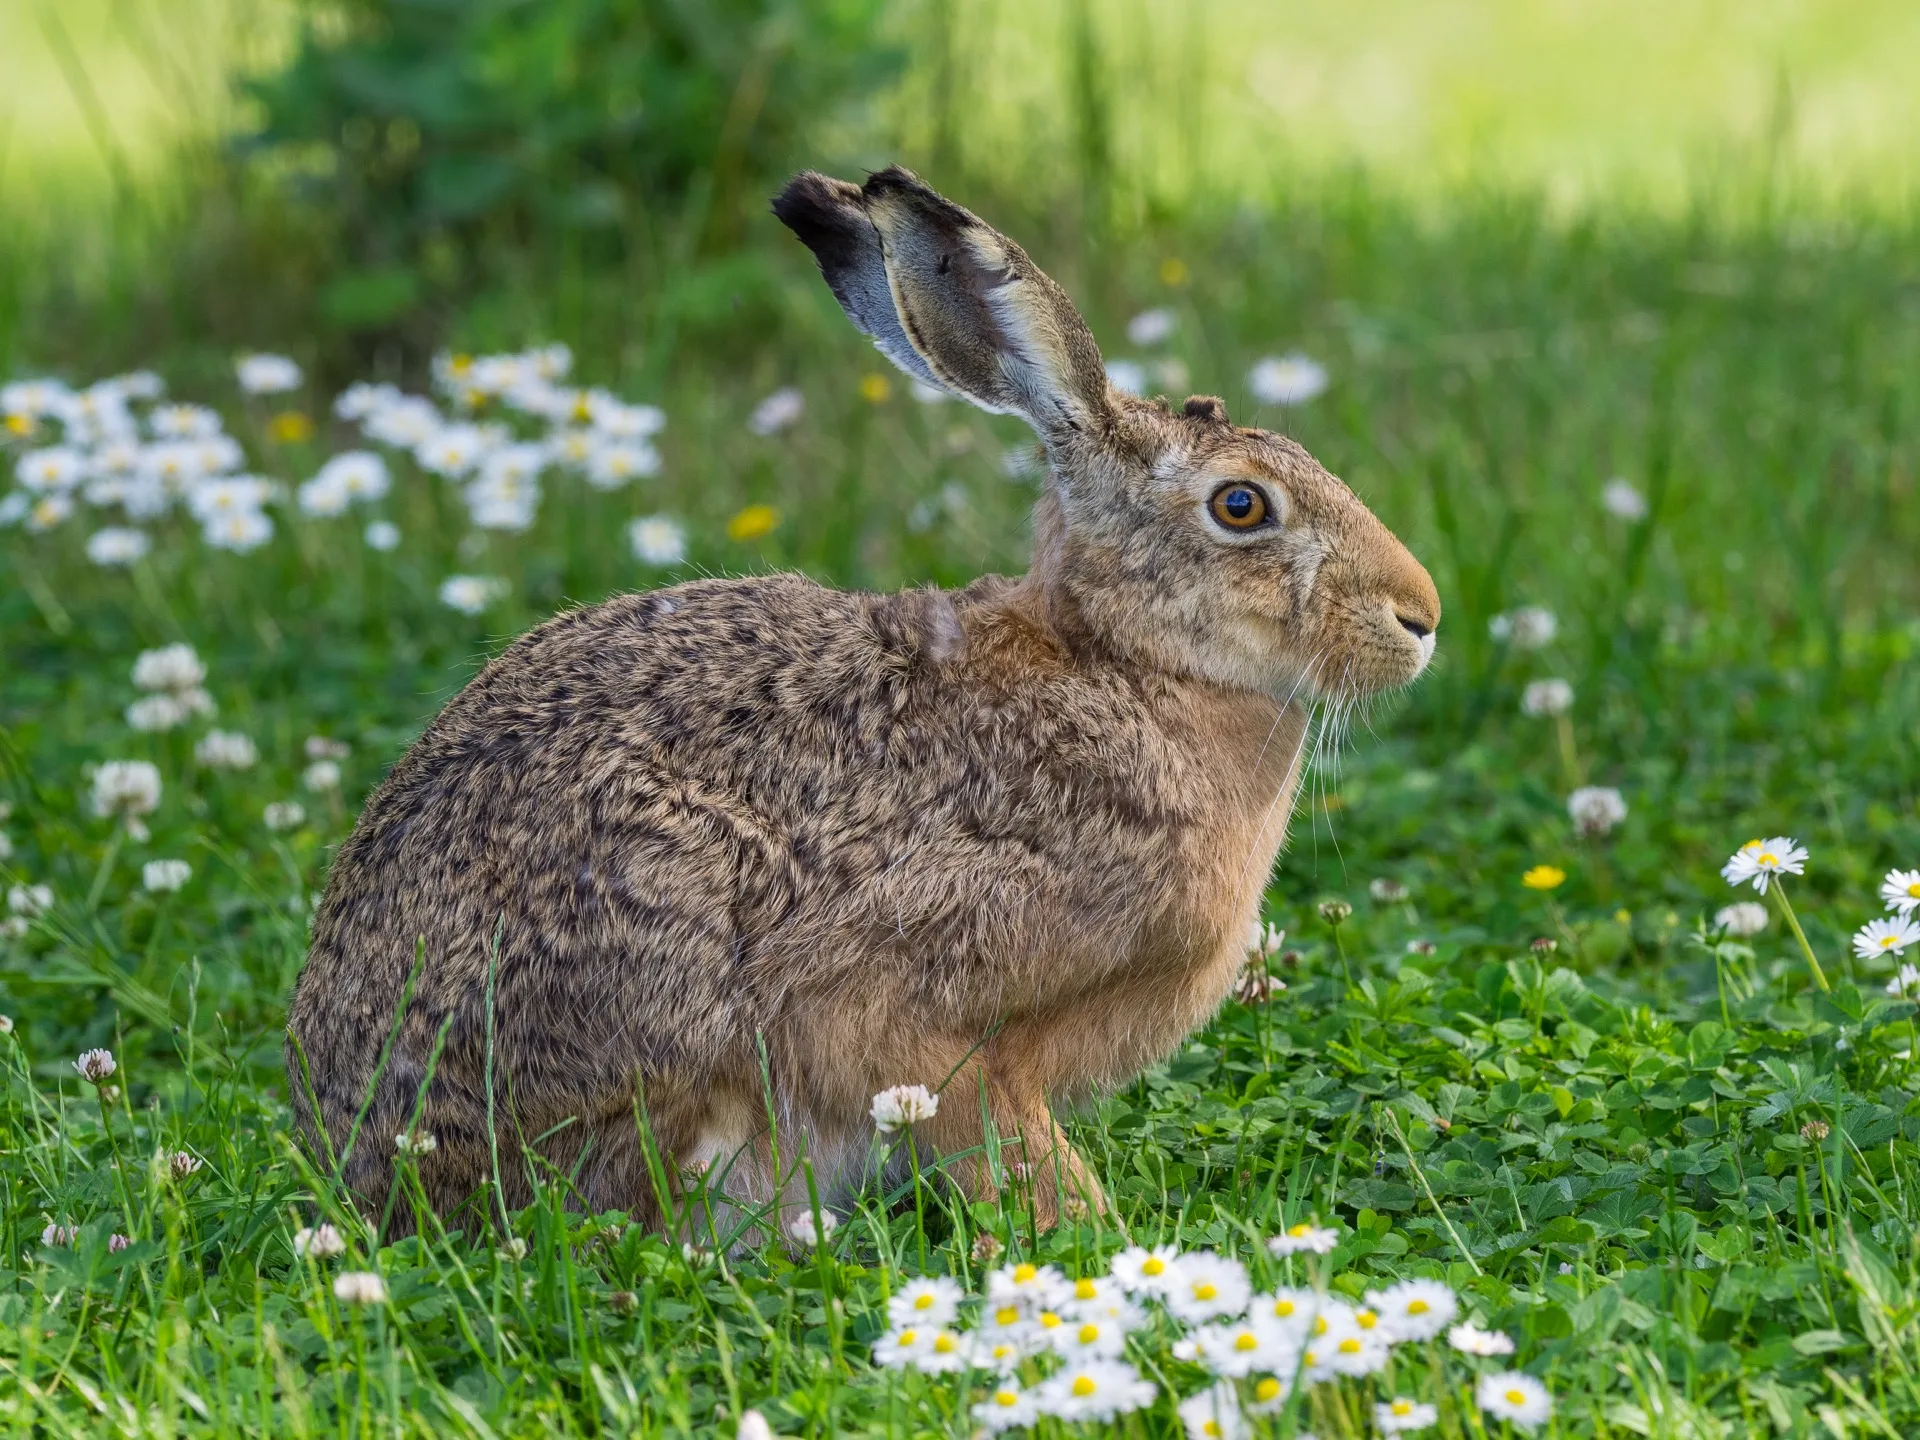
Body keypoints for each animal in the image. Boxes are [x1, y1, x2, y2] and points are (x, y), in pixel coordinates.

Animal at [285, 165, 1440, 1240]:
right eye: (1241, 506)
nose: (1421, 615)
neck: (1122, 664)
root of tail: (362, 1167)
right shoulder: (923, 1012)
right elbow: (1002, 1142)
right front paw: (1088, 1233)